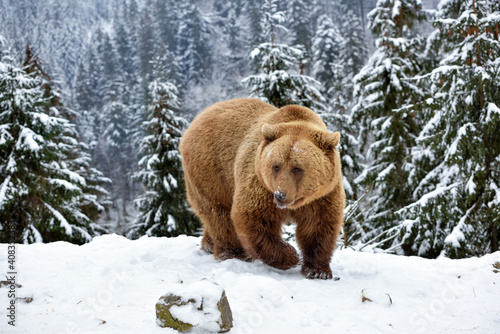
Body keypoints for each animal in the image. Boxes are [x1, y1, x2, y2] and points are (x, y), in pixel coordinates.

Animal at [179, 98, 344, 278]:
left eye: (297, 168)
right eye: (276, 166)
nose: (280, 195)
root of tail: (199, 117)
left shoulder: (323, 195)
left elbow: (318, 225)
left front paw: (317, 270)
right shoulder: (260, 183)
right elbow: (253, 218)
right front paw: (290, 256)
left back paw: (209, 245)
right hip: (211, 170)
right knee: (219, 213)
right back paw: (234, 253)